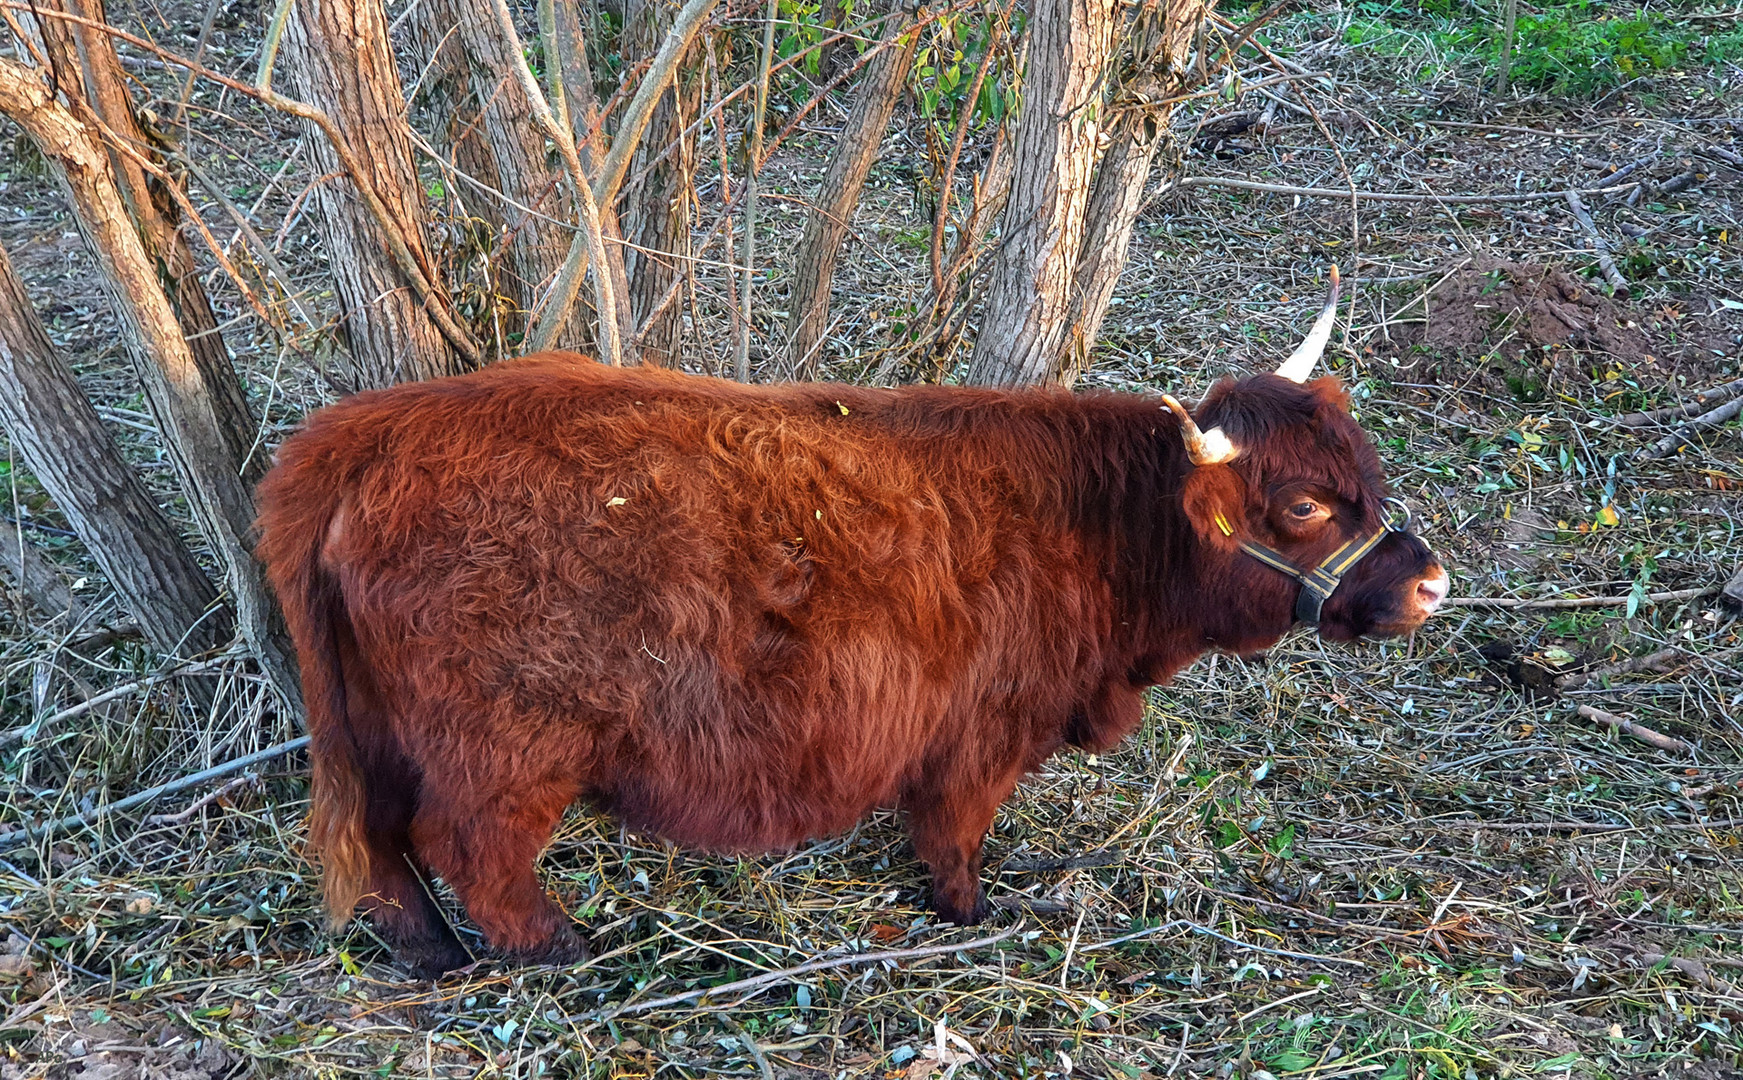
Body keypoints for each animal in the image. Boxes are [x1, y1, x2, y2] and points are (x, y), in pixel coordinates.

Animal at [254, 271, 1443, 975]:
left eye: (1366, 471)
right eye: (1303, 506)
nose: (1430, 581)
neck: (1098, 530)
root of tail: (360, 433)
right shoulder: (980, 731)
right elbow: (954, 829)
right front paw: (967, 911)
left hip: (379, 724)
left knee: (383, 846)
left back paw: (434, 953)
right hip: (504, 744)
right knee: (466, 845)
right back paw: (557, 946)